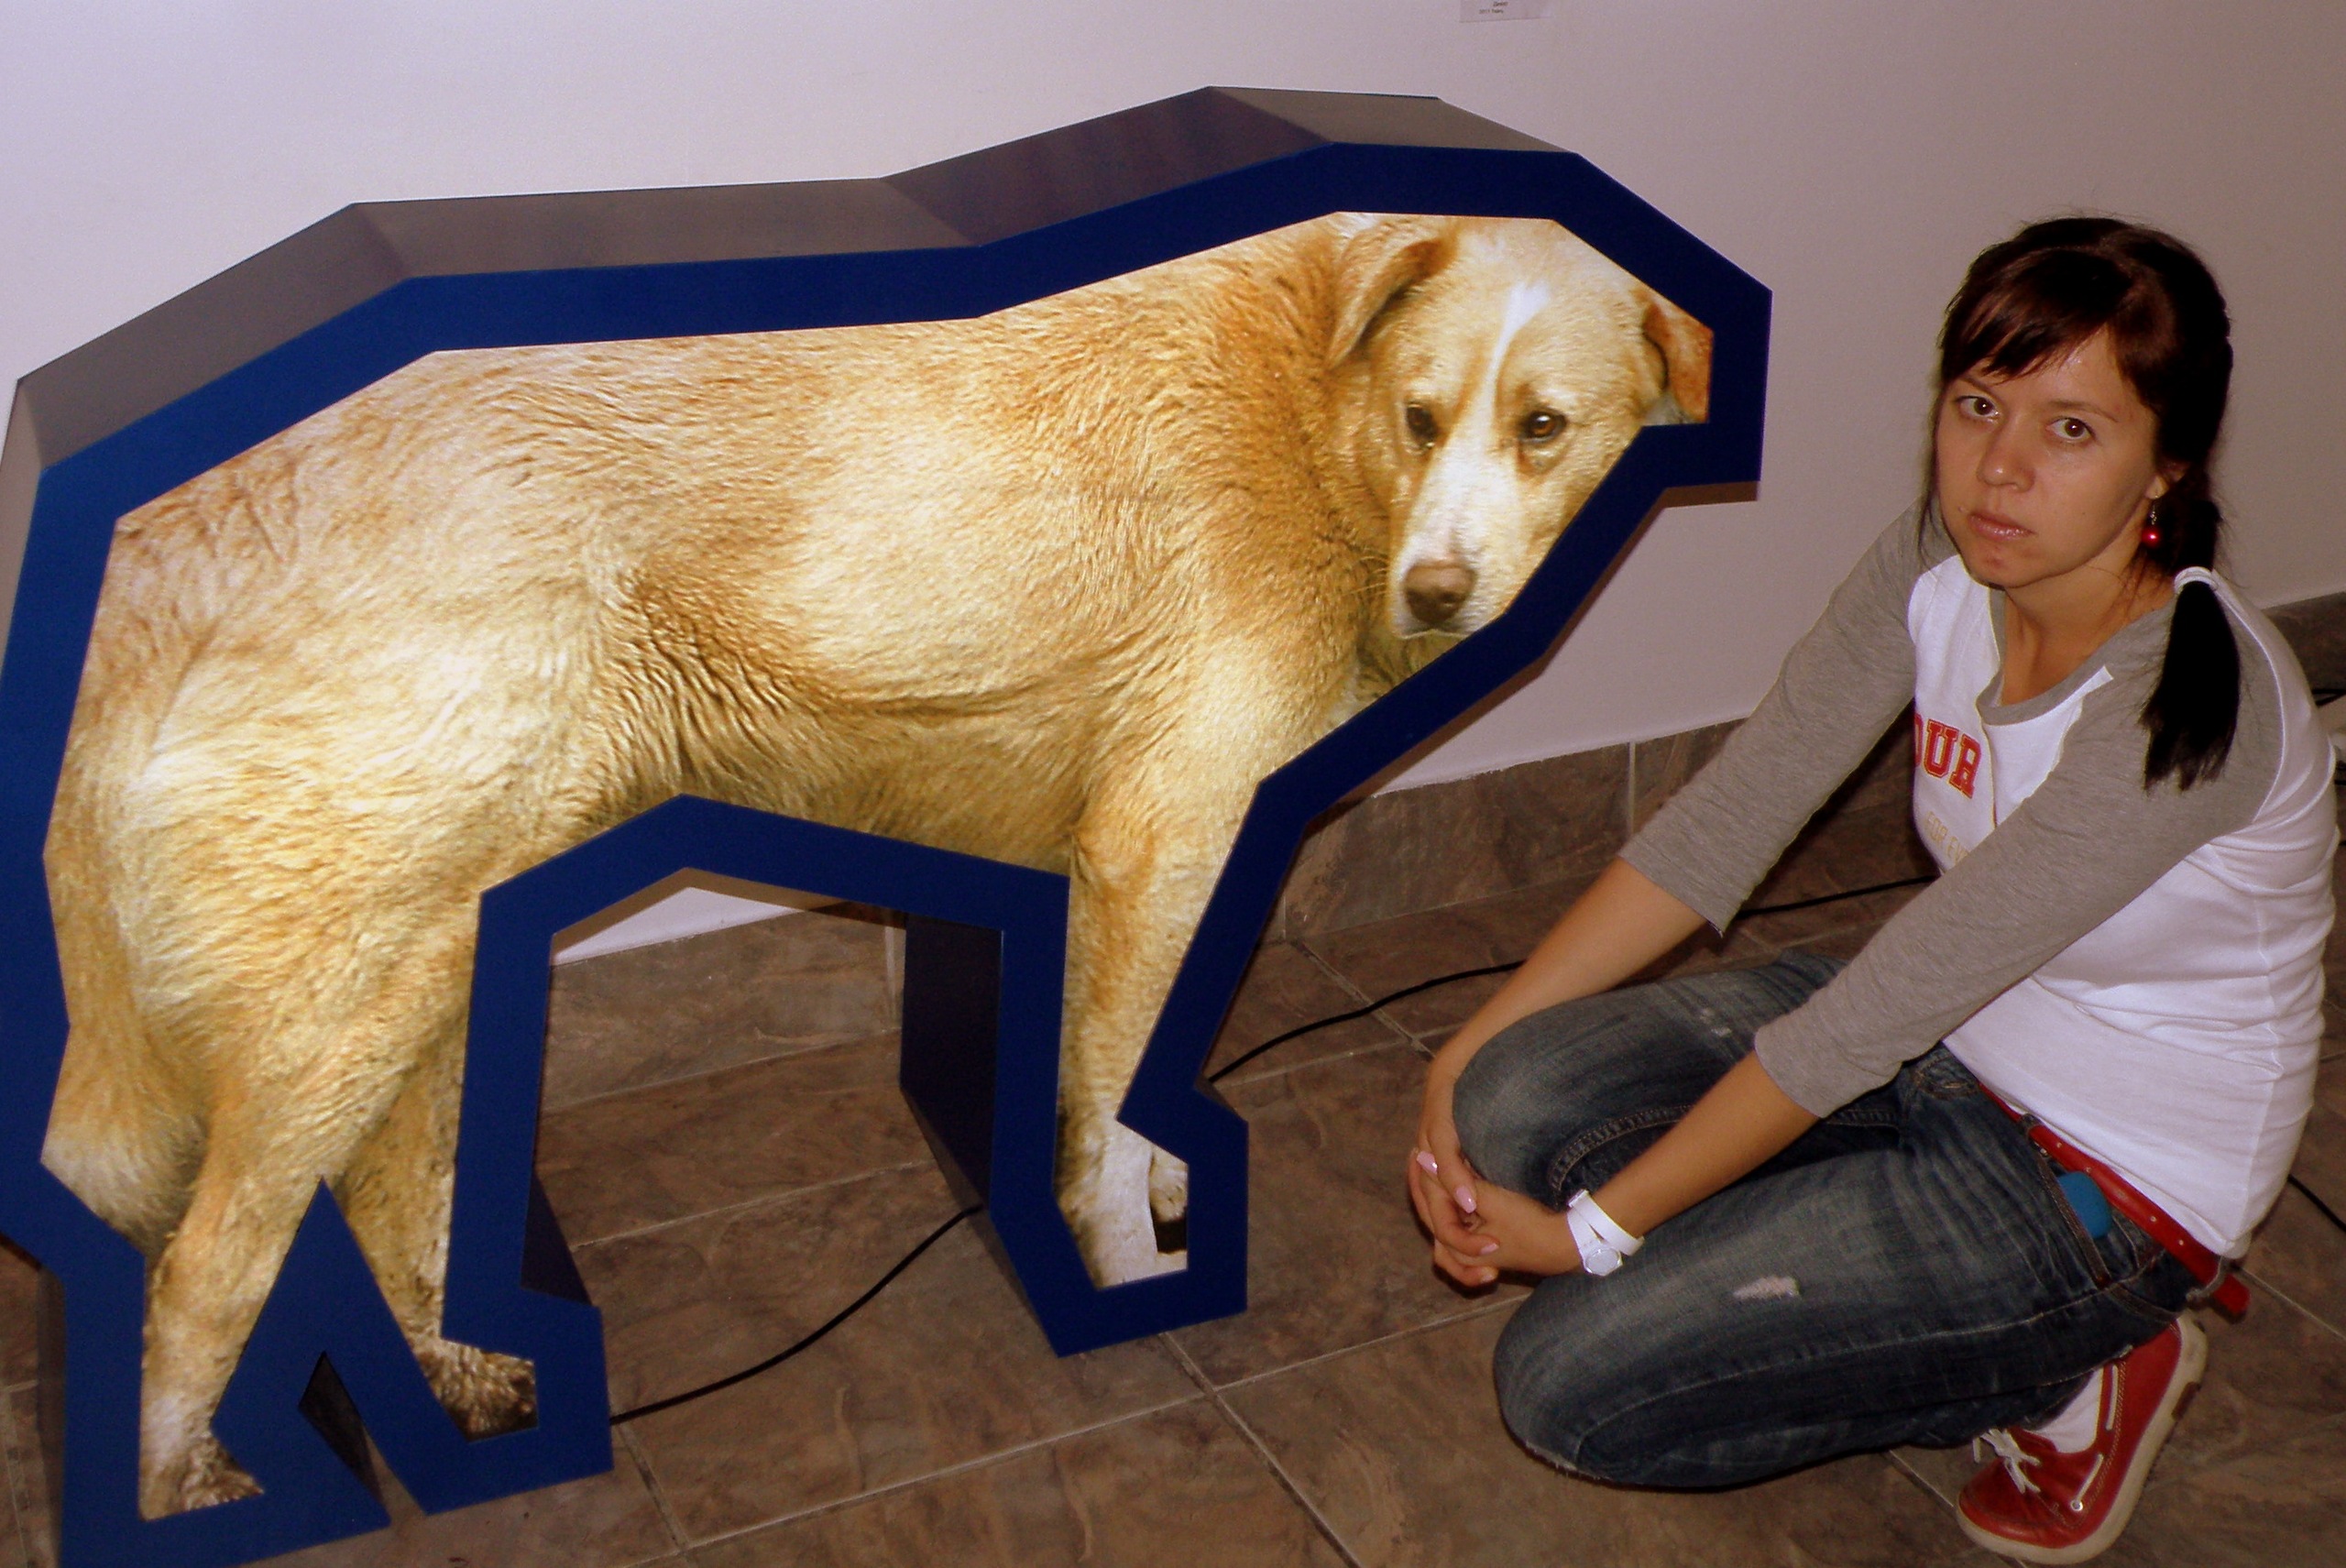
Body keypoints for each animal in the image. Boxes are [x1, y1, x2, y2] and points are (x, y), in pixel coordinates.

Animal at [38, 211, 1707, 1514]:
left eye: (1543, 427)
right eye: (1427, 418)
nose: (1436, 591)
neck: (1319, 407)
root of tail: (157, 540)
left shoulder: (1169, 851)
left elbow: (1135, 1077)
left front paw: (1169, 1187)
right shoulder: (1159, 836)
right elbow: (1108, 1124)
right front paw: (1129, 1276)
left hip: (428, 964)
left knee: (390, 1206)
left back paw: (465, 1383)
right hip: (347, 999)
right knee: (199, 1276)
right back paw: (194, 1494)